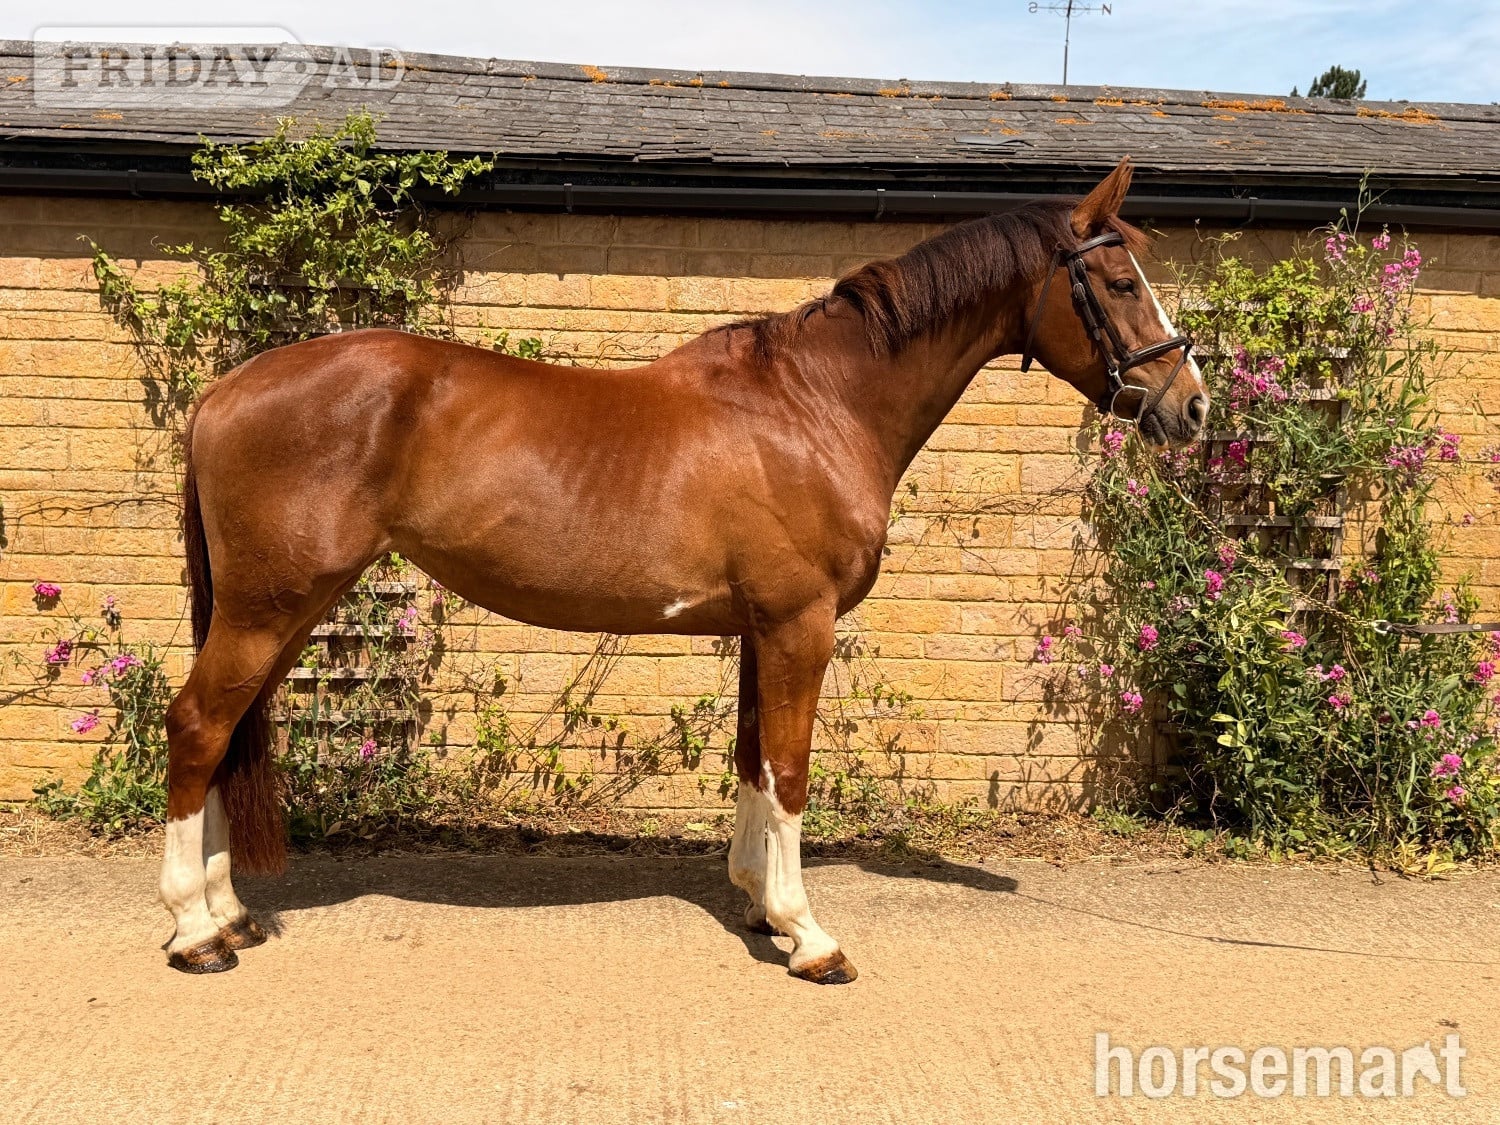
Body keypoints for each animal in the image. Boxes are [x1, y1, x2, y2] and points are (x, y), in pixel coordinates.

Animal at [158, 156, 1206, 982]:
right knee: (199, 724)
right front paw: (811, 937)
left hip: (289, 608)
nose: (1191, 406)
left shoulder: (761, 628)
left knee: (225, 731)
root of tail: (226, 388)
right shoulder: (800, 625)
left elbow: (751, 760)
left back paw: (229, 914)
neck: (817, 403)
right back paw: (195, 931)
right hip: (269, 606)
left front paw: (759, 904)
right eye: (1120, 281)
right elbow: (791, 768)